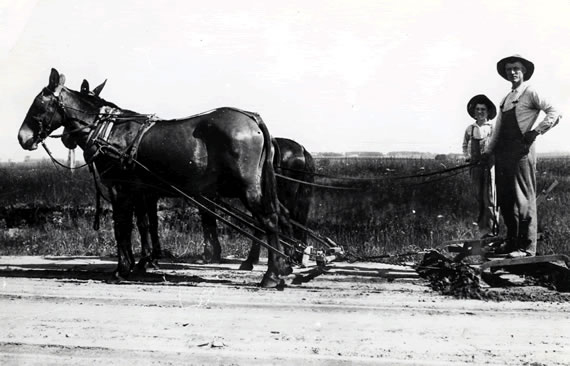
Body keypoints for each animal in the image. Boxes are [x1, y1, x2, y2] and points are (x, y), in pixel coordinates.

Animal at [18, 68, 290, 286]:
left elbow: (123, 227)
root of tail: (251, 118)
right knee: (277, 217)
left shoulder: (121, 188)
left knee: (268, 221)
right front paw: (142, 262)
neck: (109, 131)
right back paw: (281, 267)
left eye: (38, 104)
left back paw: (272, 274)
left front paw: (124, 268)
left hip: (248, 189)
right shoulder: (142, 192)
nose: (23, 137)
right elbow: (144, 225)